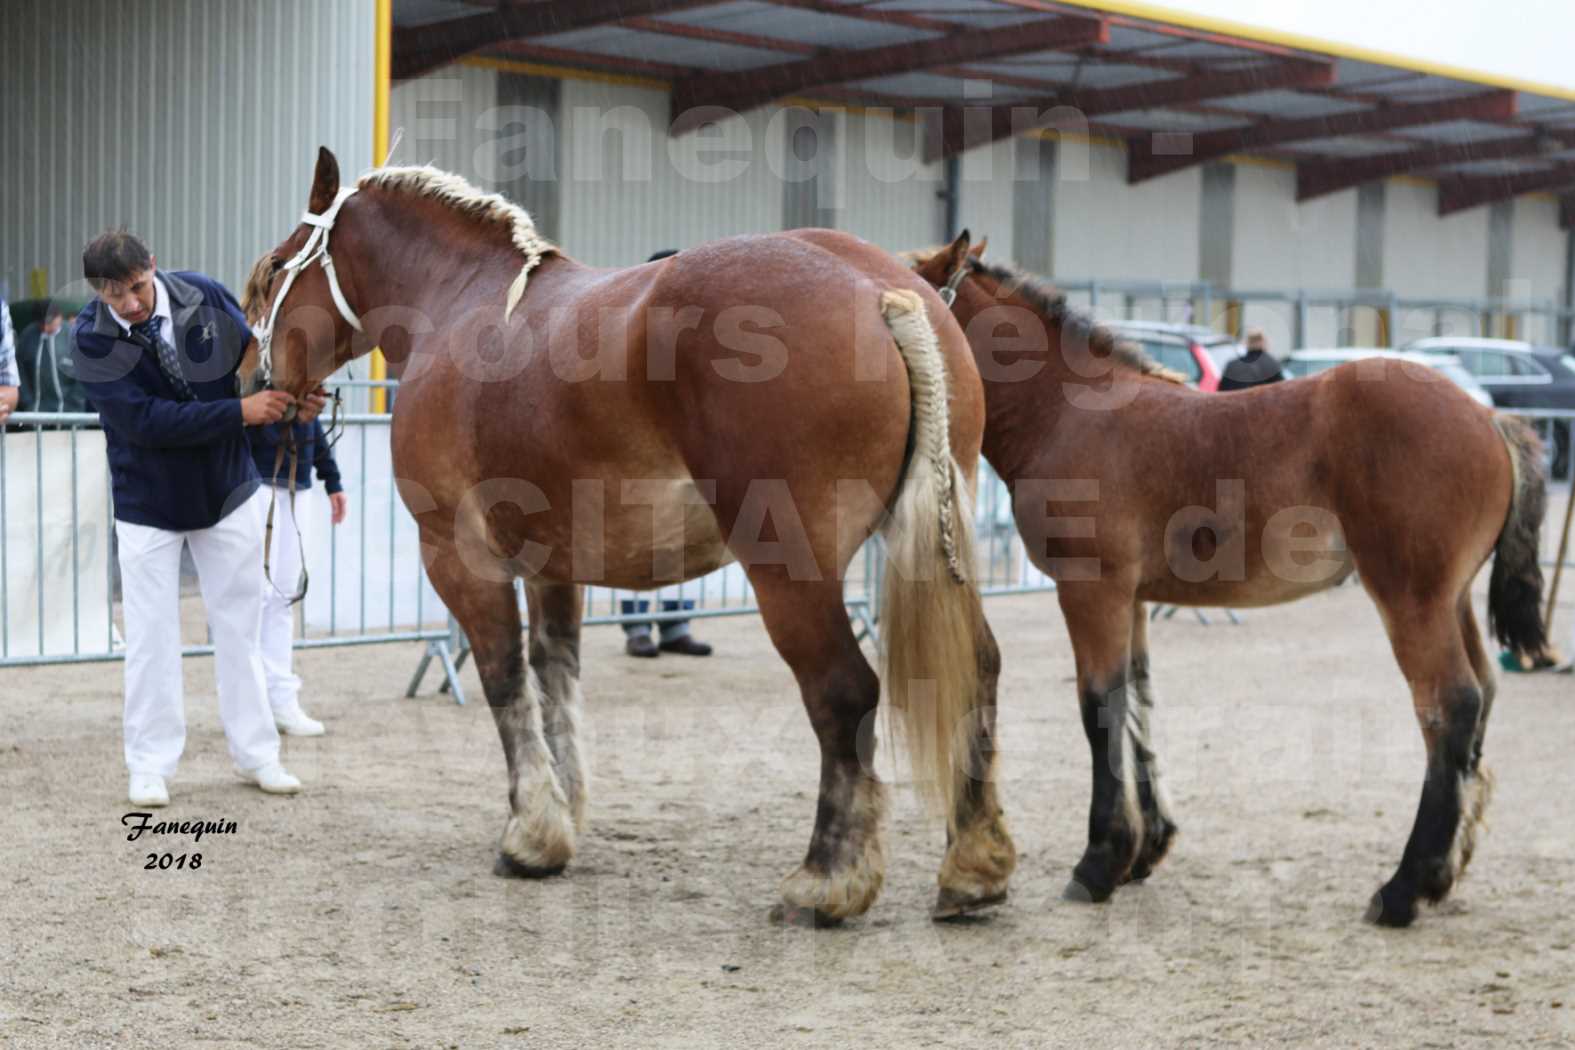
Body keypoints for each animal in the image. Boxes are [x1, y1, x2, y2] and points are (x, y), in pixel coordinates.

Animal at [236, 149, 1020, 925]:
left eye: (272, 269)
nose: (249, 382)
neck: (461, 303)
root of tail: (881, 292)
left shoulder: (459, 556)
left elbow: (503, 678)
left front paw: (529, 834)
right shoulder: (552, 564)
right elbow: (555, 677)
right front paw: (562, 820)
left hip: (790, 571)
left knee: (842, 691)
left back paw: (828, 881)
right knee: (976, 668)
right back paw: (973, 867)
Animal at [913, 236, 1549, 925]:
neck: (1066, 415)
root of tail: (1489, 418)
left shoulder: (1091, 590)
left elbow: (1099, 706)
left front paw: (1099, 862)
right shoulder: (1132, 599)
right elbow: (1138, 701)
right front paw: (1146, 850)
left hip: (1411, 599)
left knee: (1449, 705)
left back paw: (1404, 887)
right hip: (1452, 599)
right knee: (1481, 695)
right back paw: (1442, 875)